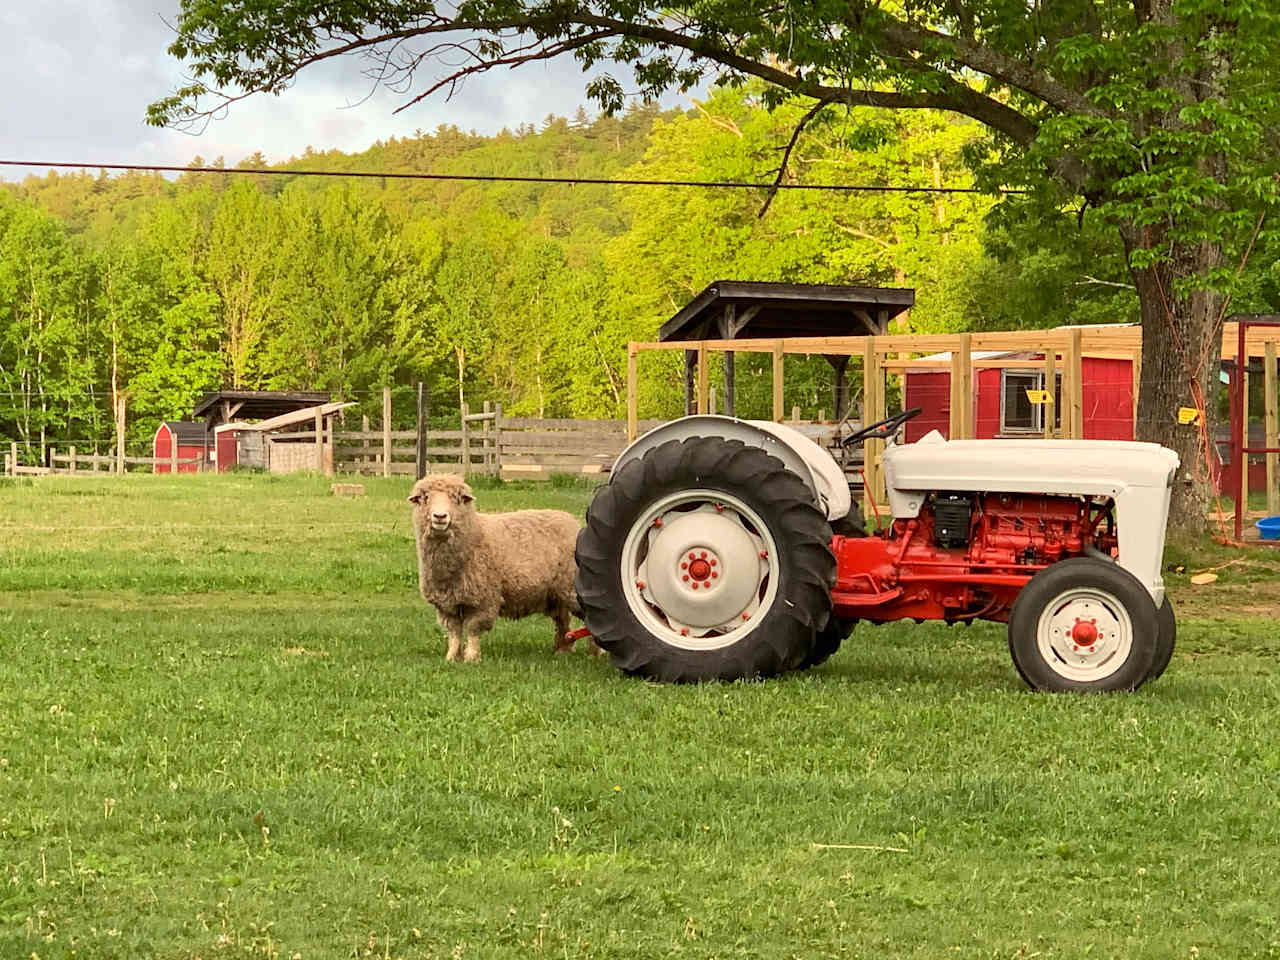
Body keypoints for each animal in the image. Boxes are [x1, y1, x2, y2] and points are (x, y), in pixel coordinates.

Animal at [407, 471, 586, 660]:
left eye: (457, 498)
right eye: (425, 498)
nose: (440, 516)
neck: (474, 536)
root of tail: (571, 520)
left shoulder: (484, 600)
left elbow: (473, 629)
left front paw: (471, 658)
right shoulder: (447, 604)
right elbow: (454, 633)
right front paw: (451, 658)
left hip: (572, 589)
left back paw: (593, 653)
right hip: (556, 594)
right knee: (563, 620)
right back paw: (562, 650)